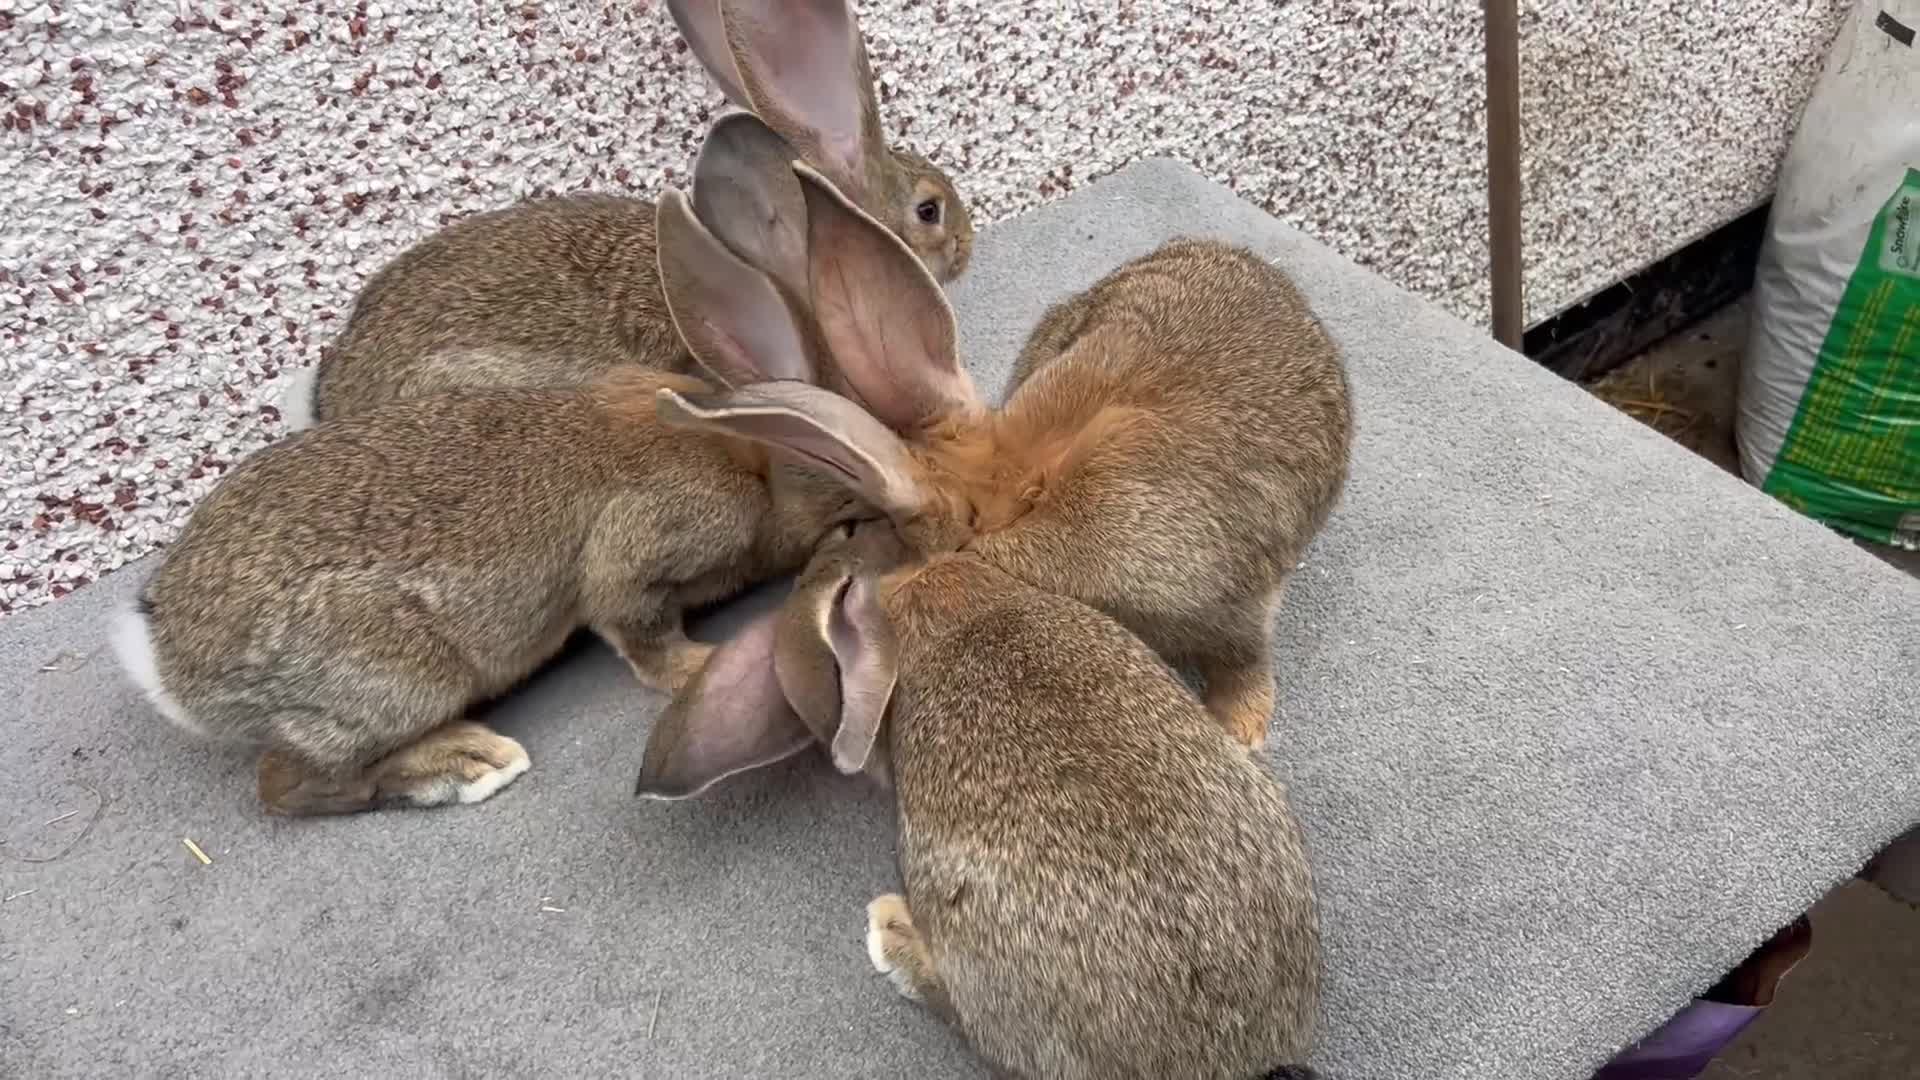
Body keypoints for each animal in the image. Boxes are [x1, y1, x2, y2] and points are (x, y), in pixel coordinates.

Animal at [109, 183, 867, 817]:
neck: (746, 455)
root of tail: (164, 659)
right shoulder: (657, 537)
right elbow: (633, 621)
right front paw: (700, 666)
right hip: (397, 678)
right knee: (289, 783)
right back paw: (468, 765)